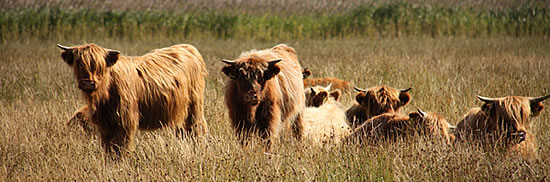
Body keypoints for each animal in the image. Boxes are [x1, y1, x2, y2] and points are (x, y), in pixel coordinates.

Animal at [58, 43, 209, 155]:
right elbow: (109, 148)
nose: (88, 83)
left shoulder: (125, 122)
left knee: (197, 128)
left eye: (100, 66)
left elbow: (120, 148)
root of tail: (188, 47)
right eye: (79, 64)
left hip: (194, 107)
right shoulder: (105, 125)